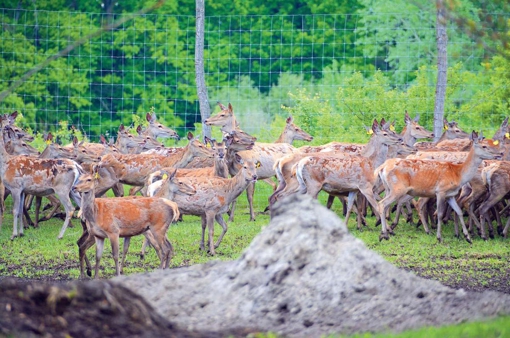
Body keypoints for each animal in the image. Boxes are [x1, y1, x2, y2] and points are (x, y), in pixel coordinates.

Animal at [376, 131, 504, 244]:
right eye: (484, 146)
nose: (500, 154)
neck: (458, 175)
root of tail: (382, 168)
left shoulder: (450, 195)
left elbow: (459, 211)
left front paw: (467, 237)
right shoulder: (440, 191)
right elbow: (440, 214)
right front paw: (439, 238)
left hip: (392, 189)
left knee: (386, 203)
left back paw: (385, 231)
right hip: (398, 188)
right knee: (382, 203)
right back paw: (385, 234)